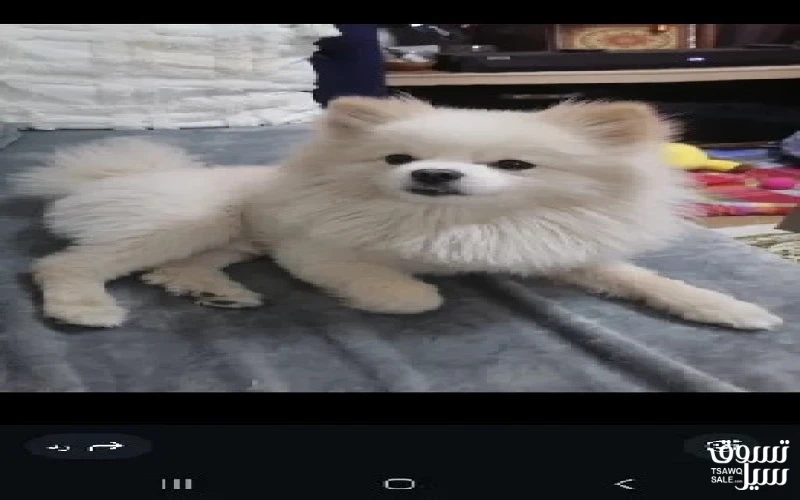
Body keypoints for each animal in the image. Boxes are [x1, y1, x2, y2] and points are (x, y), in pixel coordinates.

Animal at [12, 96, 782, 330]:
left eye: (514, 167)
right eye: (399, 157)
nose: (432, 172)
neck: (453, 228)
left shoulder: (557, 250)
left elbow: (646, 282)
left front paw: (732, 309)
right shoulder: (314, 250)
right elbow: (411, 296)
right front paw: (407, 293)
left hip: (233, 238)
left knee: (179, 265)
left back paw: (212, 290)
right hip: (194, 220)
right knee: (67, 263)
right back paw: (83, 307)